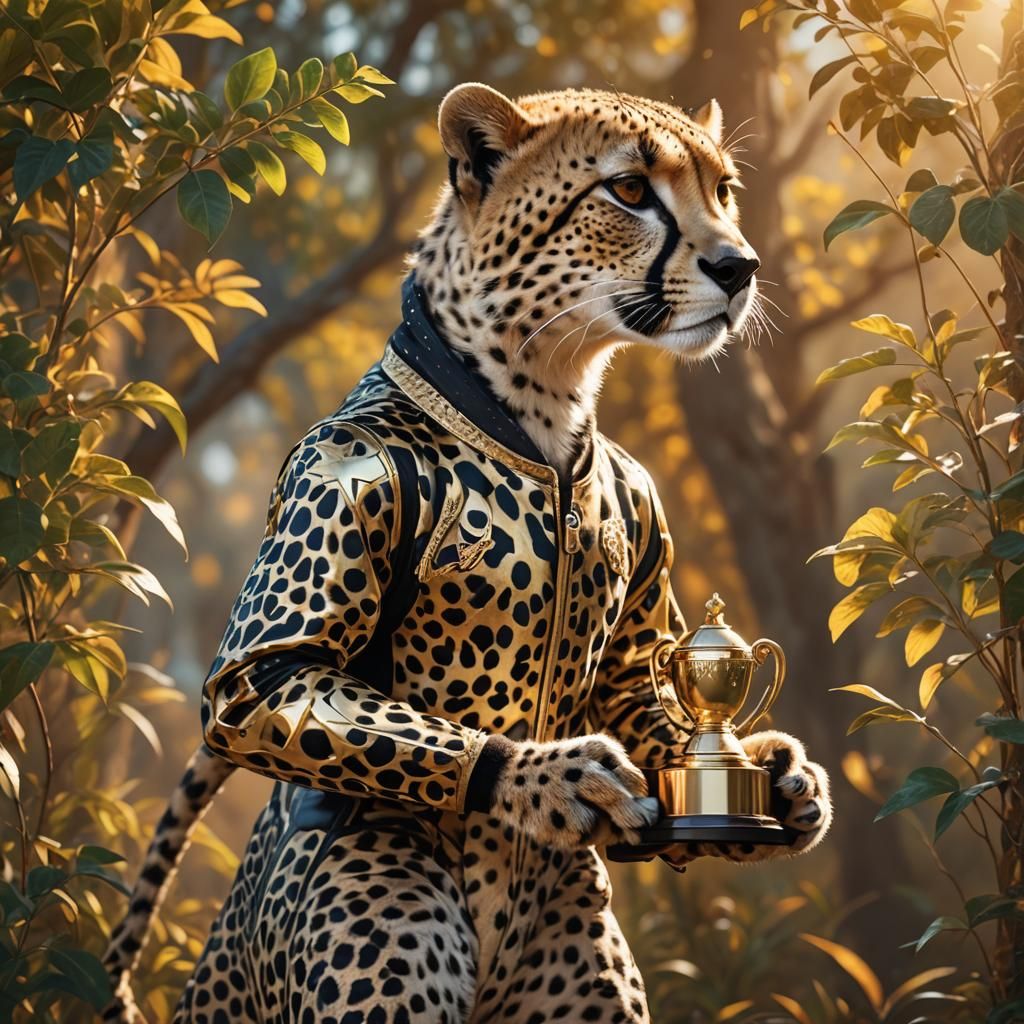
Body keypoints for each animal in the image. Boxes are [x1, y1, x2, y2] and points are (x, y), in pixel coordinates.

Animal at [103, 83, 832, 1024]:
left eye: (724, 190)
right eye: (631, 190)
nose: (740, 267)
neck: (550, 400)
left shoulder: (640, 655)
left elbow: (642, 696)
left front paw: (785, 779)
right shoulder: (329, 478)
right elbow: (259, 680)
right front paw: (546, 778)